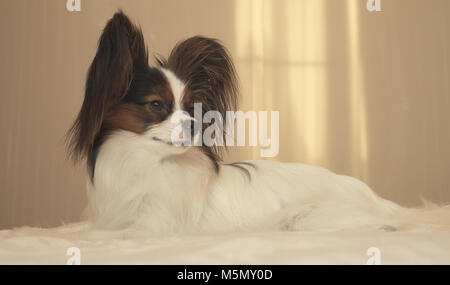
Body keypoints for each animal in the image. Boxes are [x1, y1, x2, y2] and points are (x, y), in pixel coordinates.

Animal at [67, 11, 450, 234]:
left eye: (193, 109)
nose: (192, 125)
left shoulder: (151, 226)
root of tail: (381, 201)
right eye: (157, 105)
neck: (147, 164)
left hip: (307, 219)